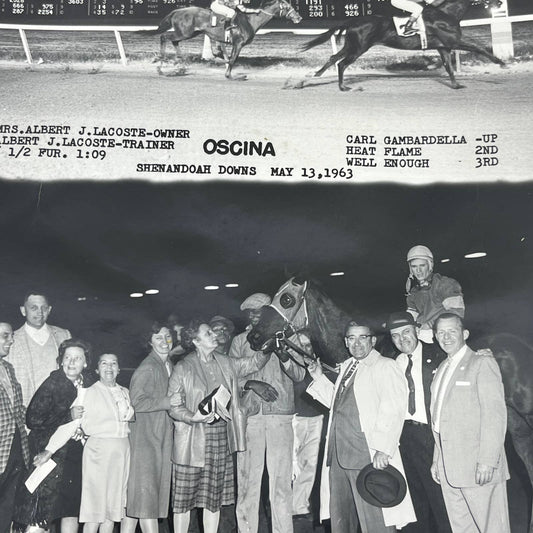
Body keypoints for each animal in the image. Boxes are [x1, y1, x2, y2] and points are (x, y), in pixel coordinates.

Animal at [137, 0, 302, 80]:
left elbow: (224, 55)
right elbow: (233, 59)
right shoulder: (238, 43)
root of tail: (177, 10)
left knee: (173, 41)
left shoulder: (226, 42)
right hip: (185, 32)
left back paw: (180, 63)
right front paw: (230, 75)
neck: (250, 20)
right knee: (165, 37)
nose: (299, 18)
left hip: (190, 33)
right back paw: (161, 63)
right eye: (288, 7)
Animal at [300, 0, 502, 90]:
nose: (500, 2)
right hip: (358, 48)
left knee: (333, 58)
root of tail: (353, 21)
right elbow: (478, 47)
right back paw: (342, 87)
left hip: (352, 45)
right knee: (341, 63)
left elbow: (448, 66)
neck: (447, 14)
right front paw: (500, 62)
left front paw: (456, 85)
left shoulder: (443, 47)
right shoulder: (453, 41)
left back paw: (309, 79)